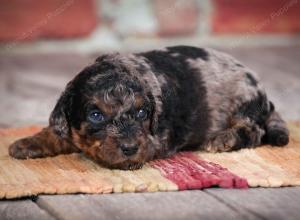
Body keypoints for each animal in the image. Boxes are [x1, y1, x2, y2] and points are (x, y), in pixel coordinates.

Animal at [9, 46, 290, 170]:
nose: (130, 148)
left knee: (254, 131)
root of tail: (265, 96)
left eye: (142, 112)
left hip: (245, 103)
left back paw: (224, 138)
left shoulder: (159, 139)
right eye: (96, 115)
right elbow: (58, 133)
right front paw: (27, 143)